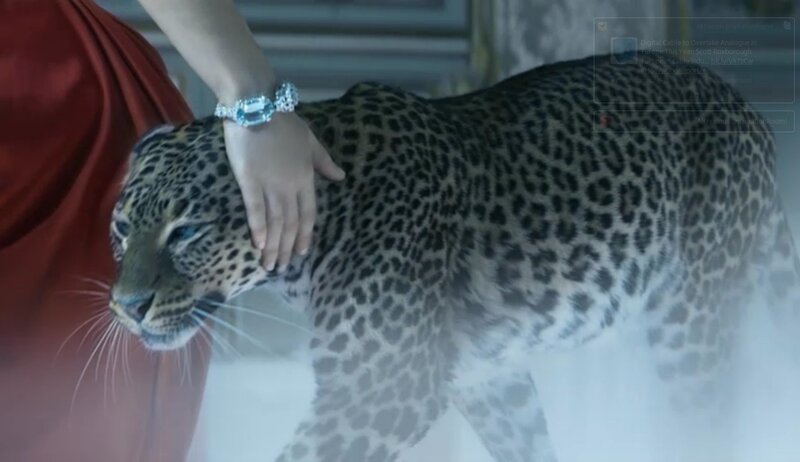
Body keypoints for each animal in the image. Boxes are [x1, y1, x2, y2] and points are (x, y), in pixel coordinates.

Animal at [107, 51, 800, 462]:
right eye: (120, 230)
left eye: (186, 232)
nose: (127, 306)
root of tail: (744, 106)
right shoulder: (489, 381)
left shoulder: (381, 387)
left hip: (692, 323)